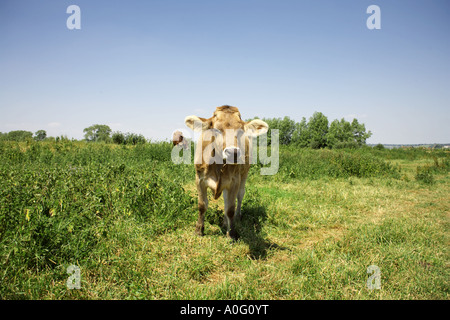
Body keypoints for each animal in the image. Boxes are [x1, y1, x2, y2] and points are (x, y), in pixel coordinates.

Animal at [181, 105, 268, 240]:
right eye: (217, 130)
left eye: (241, 131)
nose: (233, 153)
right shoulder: (199, 179)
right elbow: (202, 205)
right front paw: (199, 230)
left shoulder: (234, 181)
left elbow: (230, 209)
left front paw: (231, 234)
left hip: (244, 174)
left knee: (239, 196)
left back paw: (235, 218)